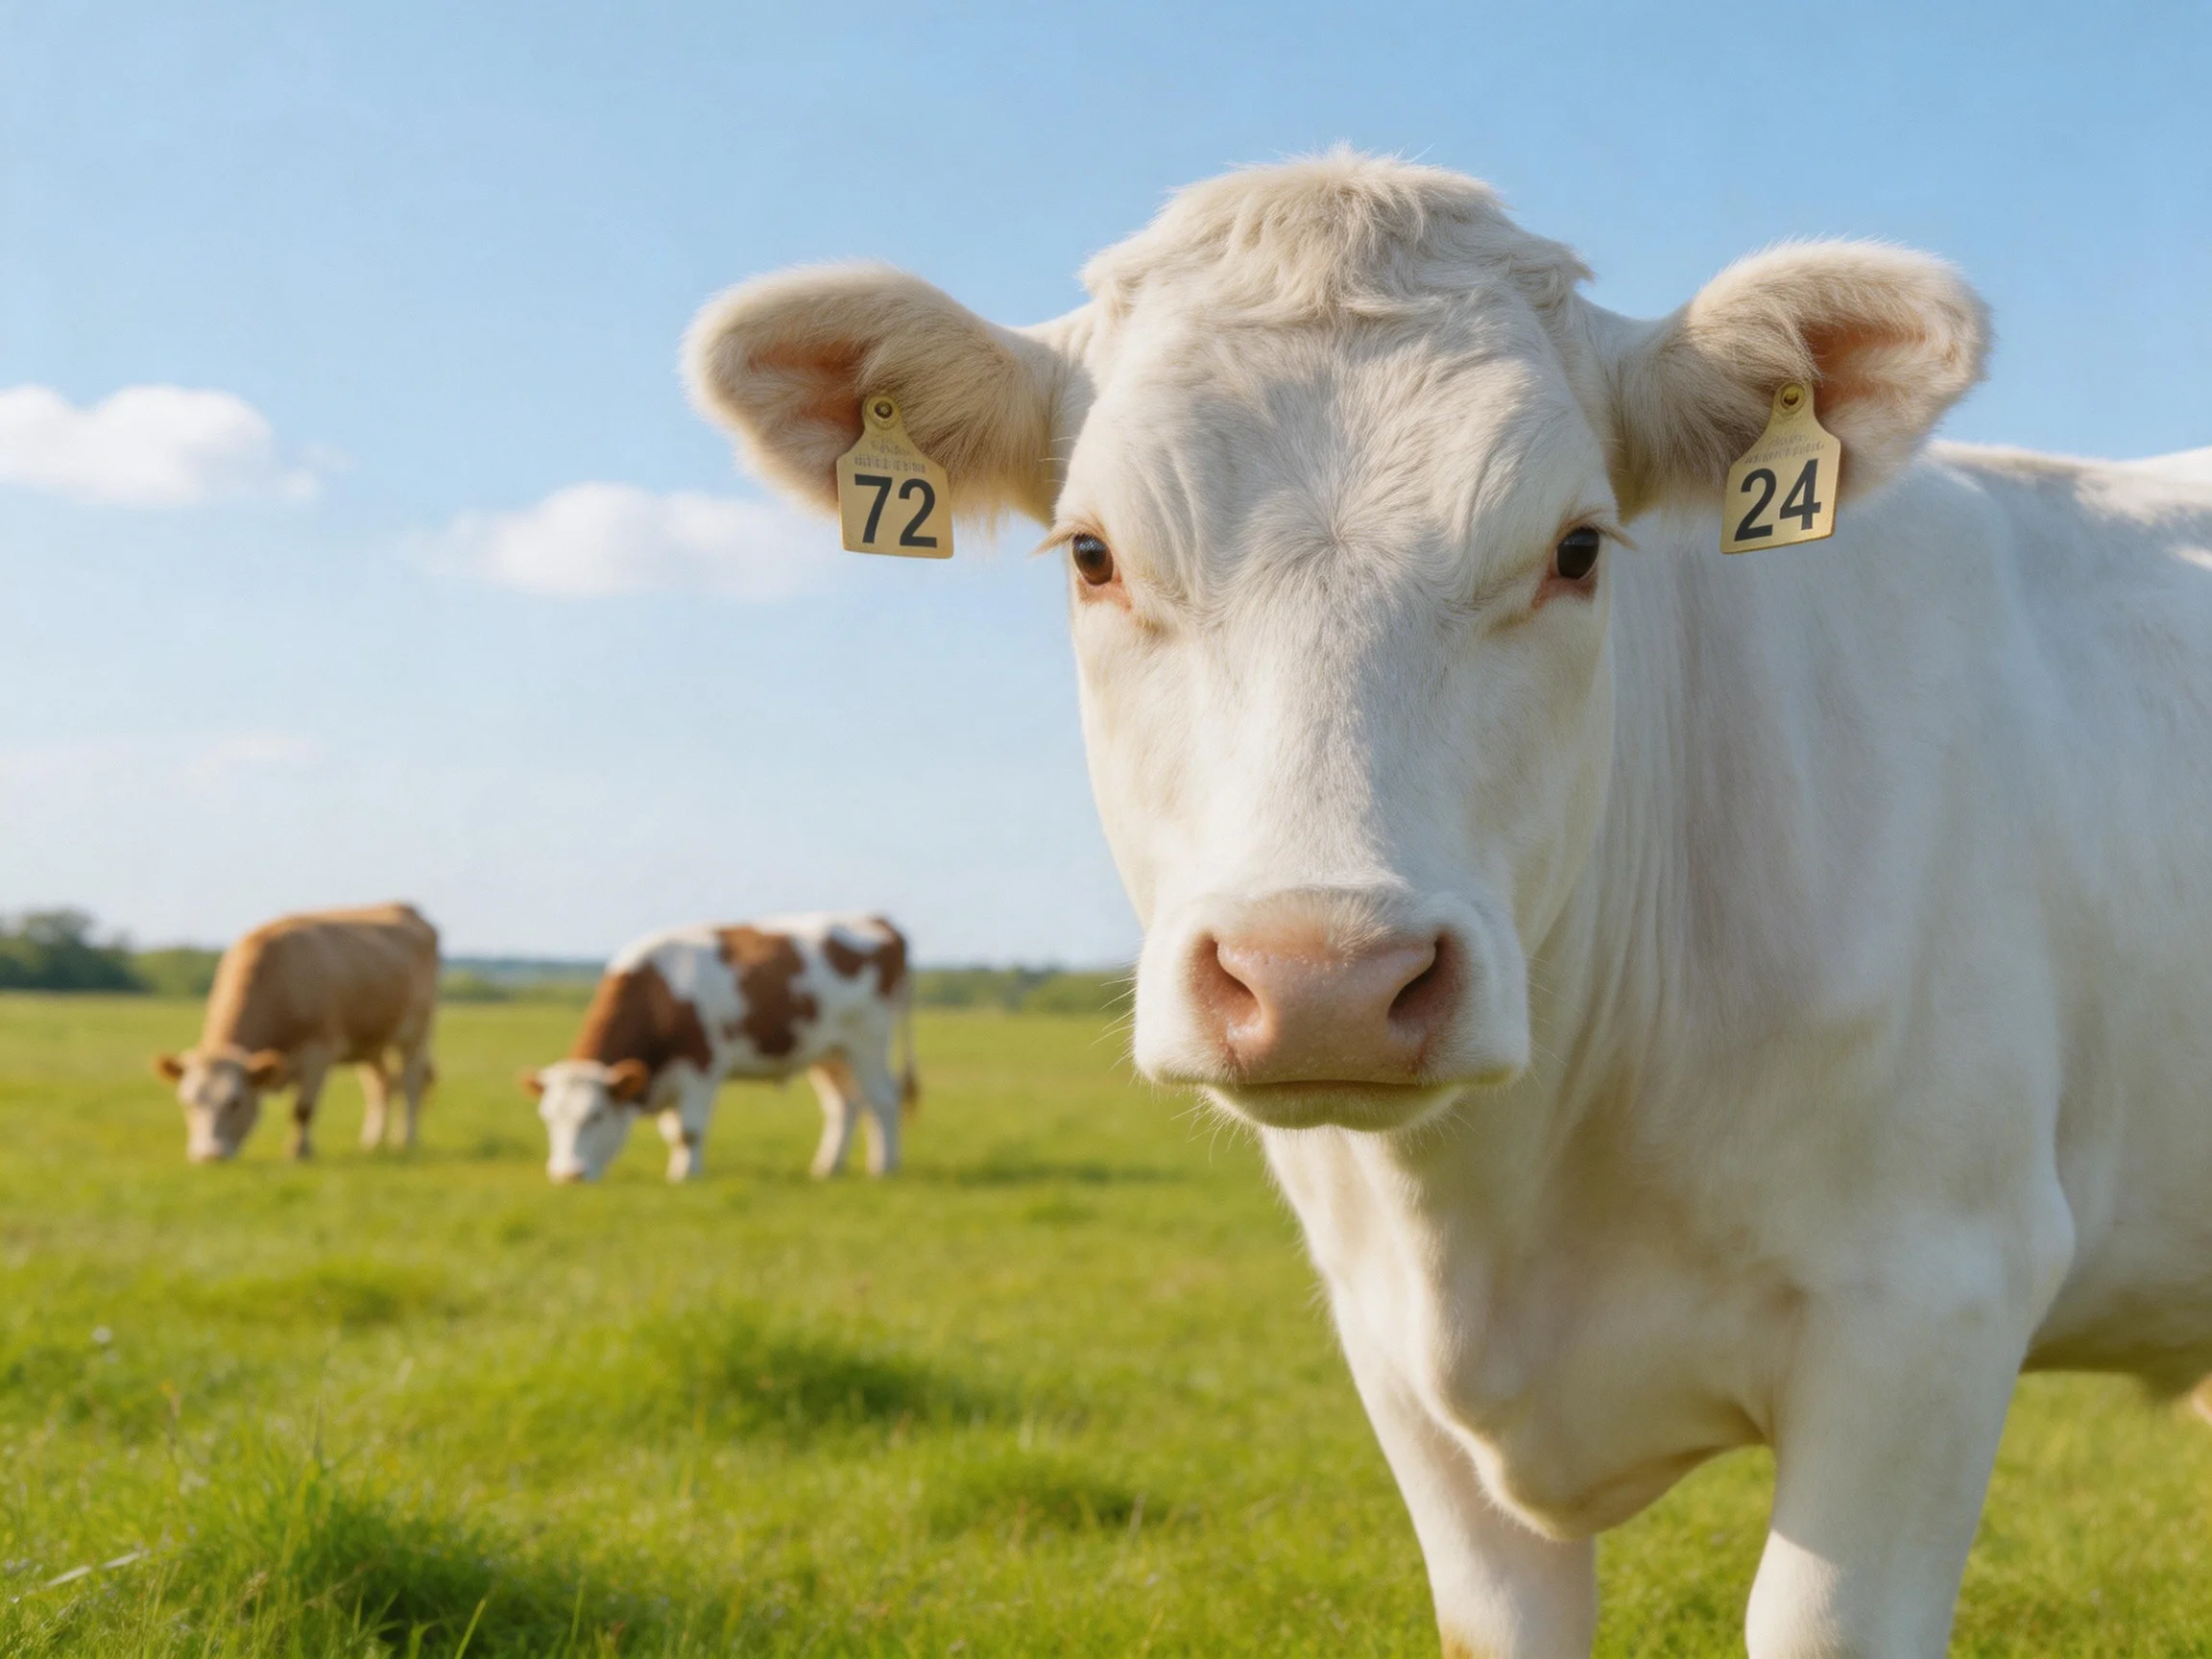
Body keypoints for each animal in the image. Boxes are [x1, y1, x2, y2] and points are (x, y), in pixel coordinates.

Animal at [156, 902, 439, 1163]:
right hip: (371, 1044)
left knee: (411, 1084)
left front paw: (299, 1152)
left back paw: (406, 1140)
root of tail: (406, 907)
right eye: (187, 1102)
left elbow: (302, 1109)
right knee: (382, 1087)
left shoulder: (319, 1053)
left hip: (415, 1035)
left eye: (235, 1102)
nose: (209, 1156)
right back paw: (372, 1142)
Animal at [522, 913, 918, 1184]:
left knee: (883, 1098)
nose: (566, 1176)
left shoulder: (701, 1065)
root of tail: (876, 918)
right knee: (844, 1104)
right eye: (547, 1118)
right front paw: (682, 1168)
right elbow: (674, 1133)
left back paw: (884, 1167)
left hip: (867, 1042)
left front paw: (686, 1177)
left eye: (596, 1115)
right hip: (830, 1052)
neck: (660, 992)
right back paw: (827, 1167)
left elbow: (689, 1130)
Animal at [682, 153, 2212, 1656]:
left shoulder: (1932, 1304)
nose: (1325, 981)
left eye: (1580, 548)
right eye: (1091, 554)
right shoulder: (1397, 1367)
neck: (1506, 1215)